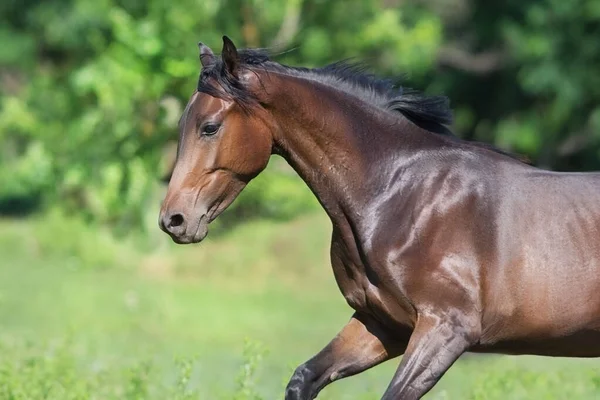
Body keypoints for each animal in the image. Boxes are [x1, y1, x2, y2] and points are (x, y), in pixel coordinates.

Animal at [158, 36, 600, 398]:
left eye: (209, 127)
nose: (173, 219)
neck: (400, 195)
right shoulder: (383, 324)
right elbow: (303, 378)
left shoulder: (445, 330)